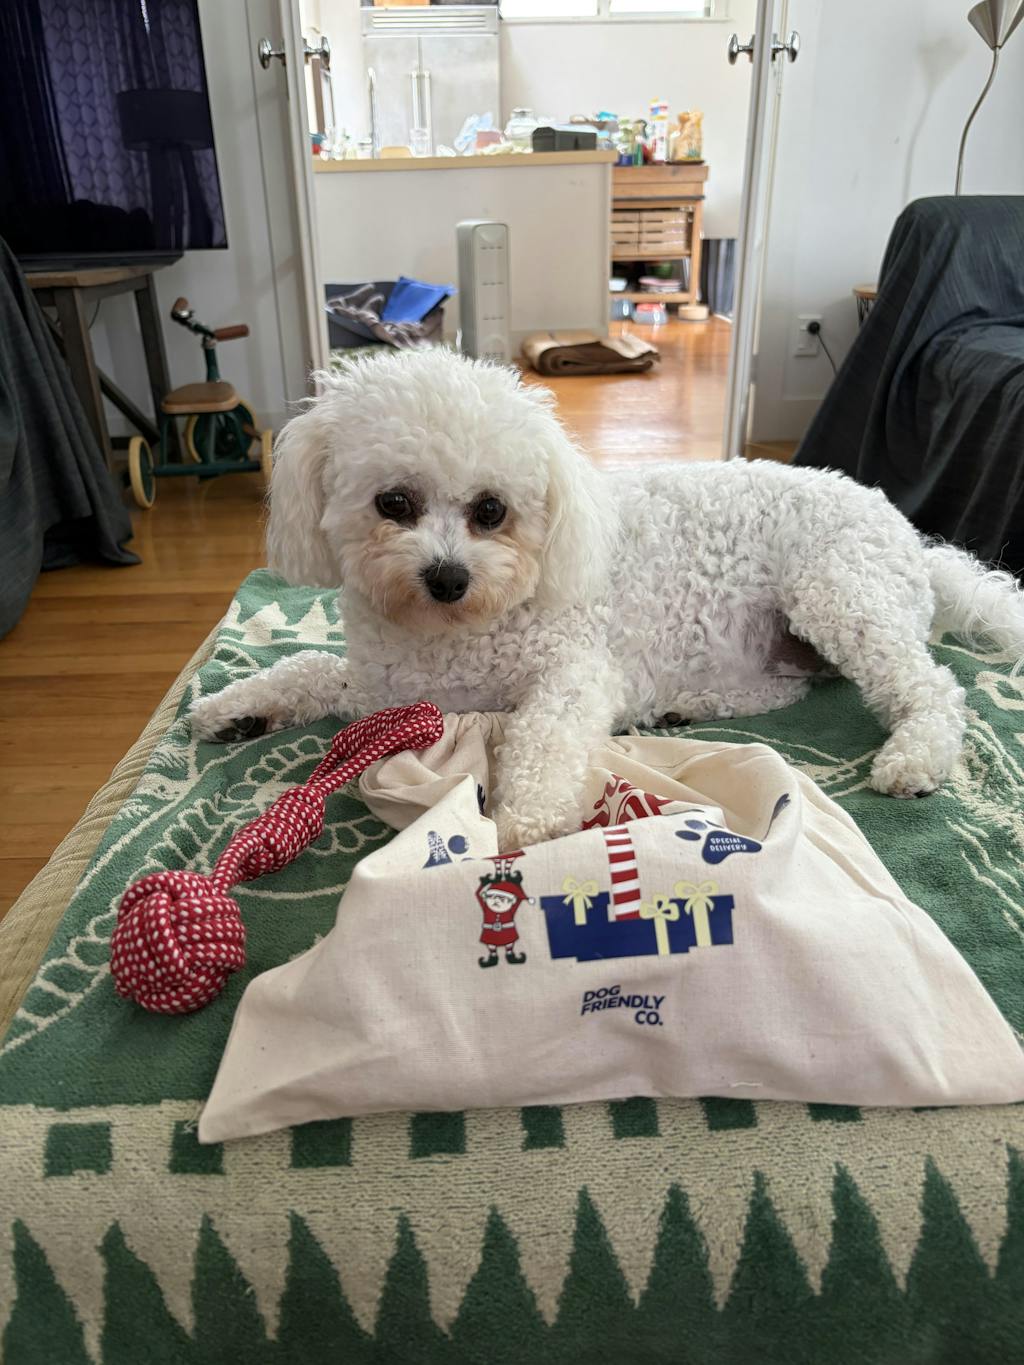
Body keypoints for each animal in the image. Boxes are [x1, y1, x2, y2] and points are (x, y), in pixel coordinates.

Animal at [190, 348, 1024, 851]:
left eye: (491, 510)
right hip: (792, 639)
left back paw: (914, 755)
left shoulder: (573, 671)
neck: (450, 630)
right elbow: (302, 667)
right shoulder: (384, 684)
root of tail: (912, 537)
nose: (447, 577)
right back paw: (685, 705)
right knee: (786, 687)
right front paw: (234, 704)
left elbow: (543, 733)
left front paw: (525, 820)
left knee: (934, 687)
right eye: (393, 502)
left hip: (837, 594)